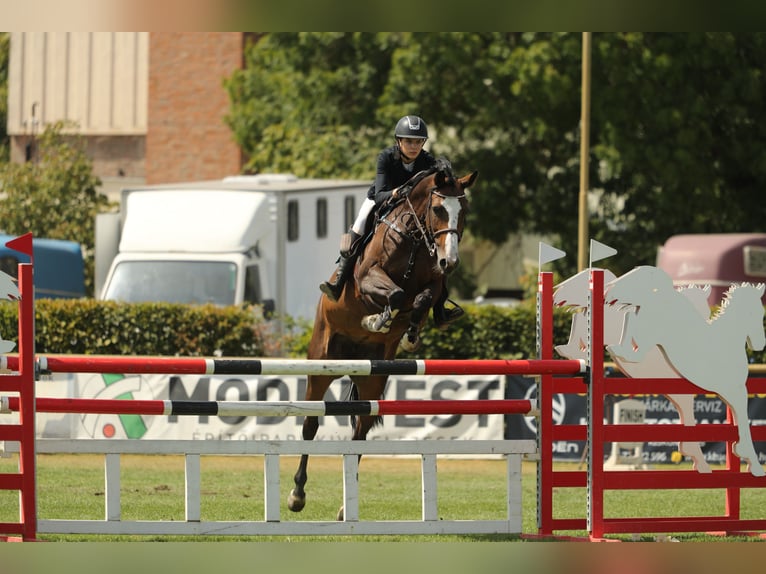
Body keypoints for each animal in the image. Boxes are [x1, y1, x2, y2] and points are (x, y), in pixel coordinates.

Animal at [287, 159, 478, 517]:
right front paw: (377, 318)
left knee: (360, 430)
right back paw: (297, 495)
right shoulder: (367, 279)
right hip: (321, 362)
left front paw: (408, 333)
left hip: (373, 378)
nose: (451, 262)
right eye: (437, 208)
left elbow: (421, 298)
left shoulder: (433, 284)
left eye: (464, 211)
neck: (416, 239)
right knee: (310, 424)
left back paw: (345, 507)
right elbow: (397, 293)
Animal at [606, 266, 766, 476]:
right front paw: (753, 463)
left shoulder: (732, 392)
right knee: (635, 347)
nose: (760, 344)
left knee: (630, 317)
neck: (727, 341)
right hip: (651, 335)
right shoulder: (734, 390)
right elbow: (744, 419)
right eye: (755, 313)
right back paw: (616, 350)